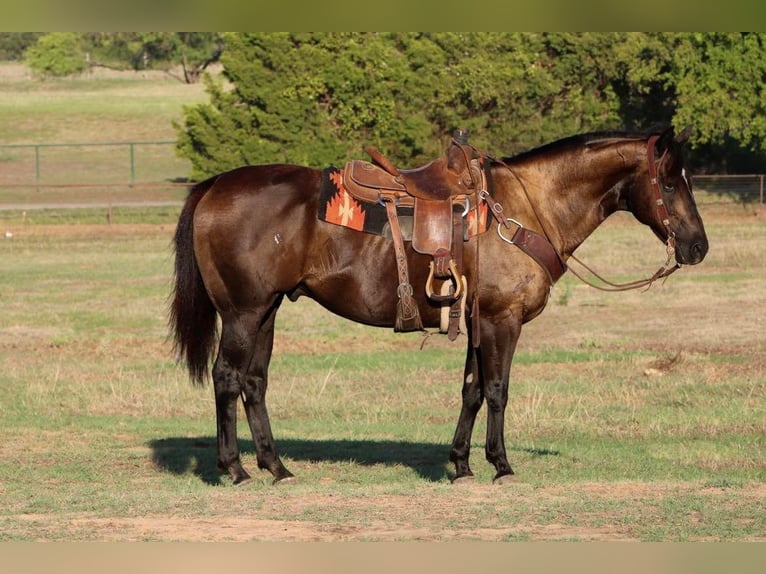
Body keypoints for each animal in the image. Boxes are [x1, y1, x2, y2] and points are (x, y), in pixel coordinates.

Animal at [171, 126, 712, 486]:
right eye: (669, 183)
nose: (698, 247)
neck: (525, 209)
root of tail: (215, 185)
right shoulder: (501, 320)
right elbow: (497, 390)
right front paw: (500, 464)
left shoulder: (477, 320)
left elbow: (471, 390)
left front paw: (461, 464)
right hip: (242, 314)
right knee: (227, 379)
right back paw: (235, 469)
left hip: (265, 312)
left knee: (254, 383)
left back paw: (276, 467)